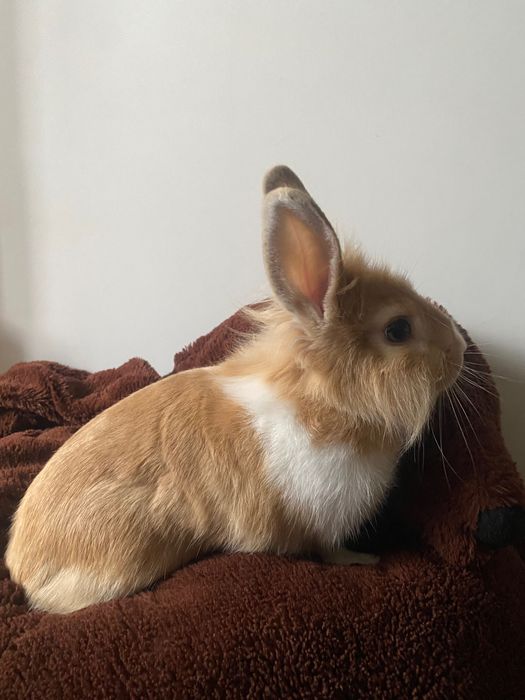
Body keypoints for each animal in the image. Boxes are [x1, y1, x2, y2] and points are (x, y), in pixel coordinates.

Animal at [5, 165, 467, 613]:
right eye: (398, 329)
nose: (460, 348)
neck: (322, 403)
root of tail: (21, 571)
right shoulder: (318, 523)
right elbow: (330, 551)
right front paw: (364, 560)